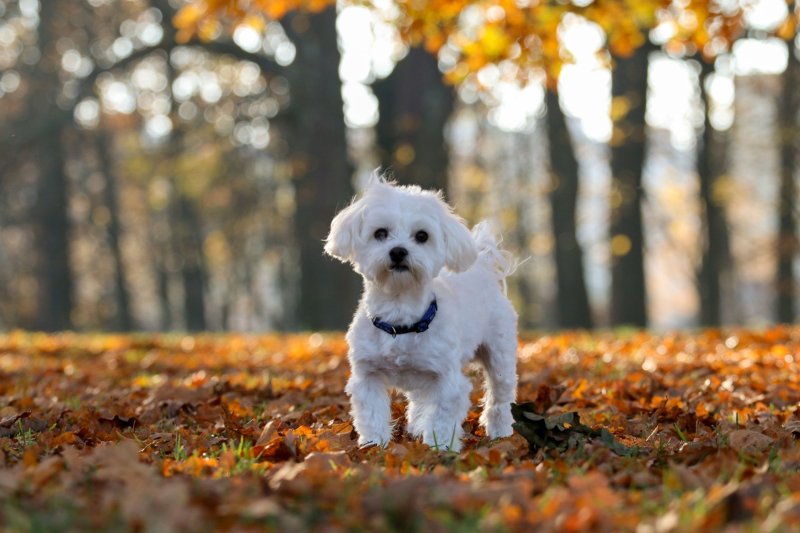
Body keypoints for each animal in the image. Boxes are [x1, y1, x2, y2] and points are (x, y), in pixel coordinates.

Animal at [324, 177, 520, 450]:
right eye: (380, 233)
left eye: (422, 236)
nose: (398, 251)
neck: (400, 317)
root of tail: (483, 268)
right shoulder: (367, 375)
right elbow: (372, 413)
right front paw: (374, 444)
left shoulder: (447, 381)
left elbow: (442, 416)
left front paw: (440, 447)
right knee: (420, 401)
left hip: (499, 354)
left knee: (499, 396)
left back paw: (500, 432)